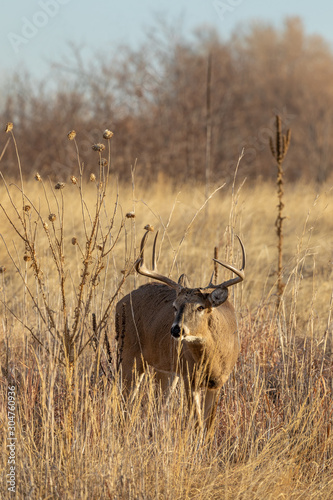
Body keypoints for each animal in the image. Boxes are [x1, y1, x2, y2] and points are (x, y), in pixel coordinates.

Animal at [115, 230, 245, 430]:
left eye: (200, 307)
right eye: (174, 306)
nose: (176, 330)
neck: (212, 360)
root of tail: (119, 303)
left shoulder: (217, 382)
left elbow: (209, 425)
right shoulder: (189, 377)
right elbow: (197, 422)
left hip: (165, 368)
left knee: (160, 406)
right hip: (130, 354)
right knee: (126, 399)